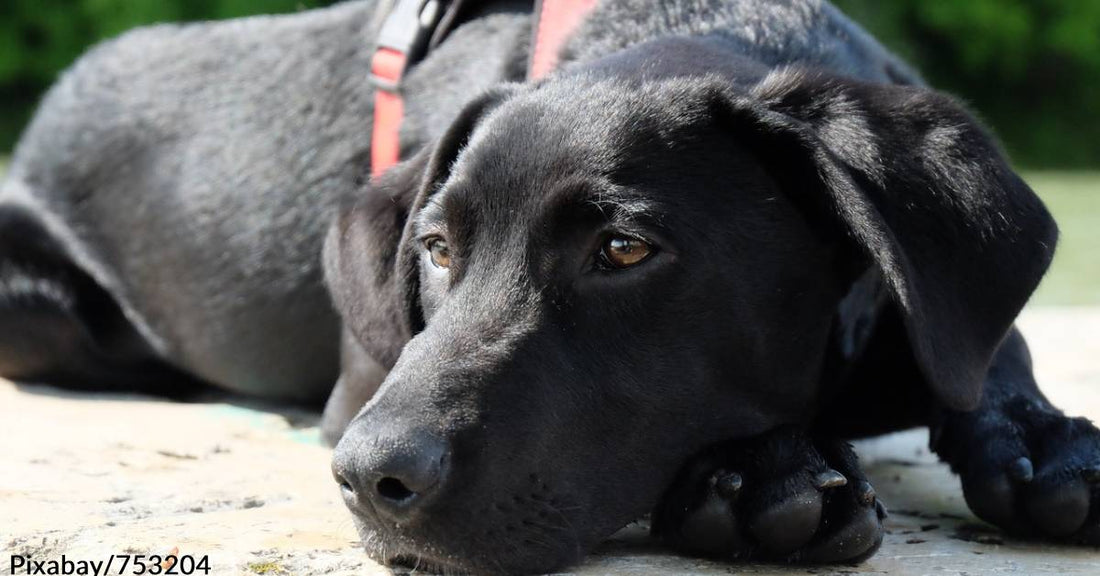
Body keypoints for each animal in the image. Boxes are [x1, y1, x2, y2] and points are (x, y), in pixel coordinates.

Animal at [2, 0, 1100, 571]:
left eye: (622, 249)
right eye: (436, 249)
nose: (369, 480)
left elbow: (991, 348)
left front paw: (1041, 440)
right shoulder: (363, 385)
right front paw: (763, 476)